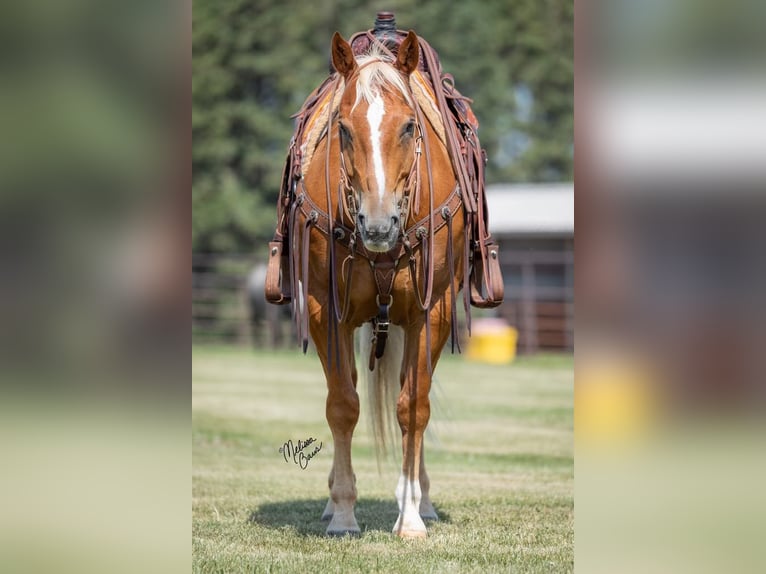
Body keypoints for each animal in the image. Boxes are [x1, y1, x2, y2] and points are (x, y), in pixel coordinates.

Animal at [270, 27, 504, 540]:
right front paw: (342, 512)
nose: (378, 226)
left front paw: (411, 516)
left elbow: (413, 407)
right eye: (342, 128)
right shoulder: (325, 310)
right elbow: (342, 404)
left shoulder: (431, 311)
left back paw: (421, 499)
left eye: (410, 127)